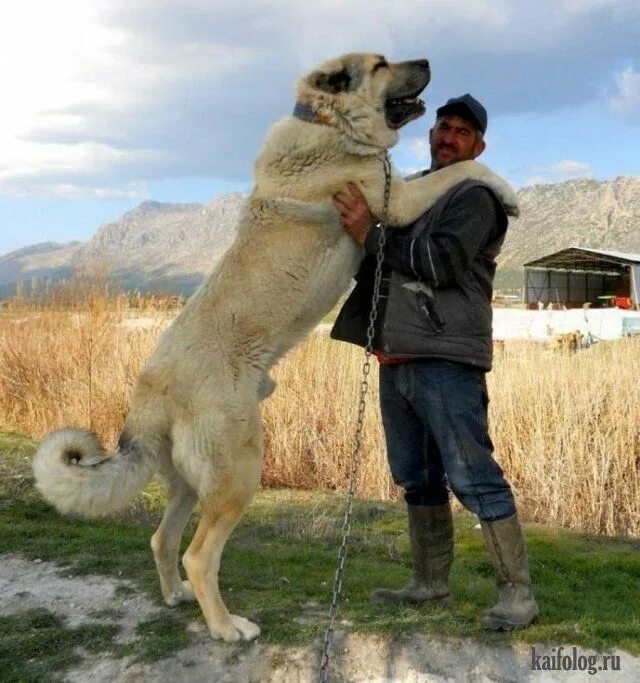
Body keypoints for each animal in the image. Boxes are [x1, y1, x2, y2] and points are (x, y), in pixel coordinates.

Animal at [32, 52, 516, 640]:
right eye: (381, 63)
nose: (425, 60)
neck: (329, 123)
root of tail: (150, 393)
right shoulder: (395, 200)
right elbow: (460, 172)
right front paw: (508, 193)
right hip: (239, 471)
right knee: (198, 555)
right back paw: (226, 628)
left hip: (191, 482)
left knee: (162, 538)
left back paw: (175, 597)